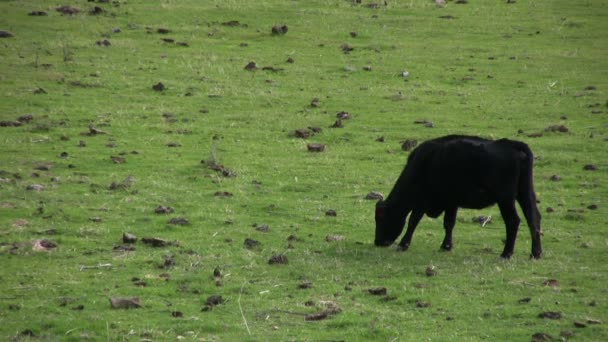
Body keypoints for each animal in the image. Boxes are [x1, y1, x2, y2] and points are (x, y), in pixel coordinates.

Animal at [376, 135, 540, 258]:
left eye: (381, 217)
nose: (377, 242)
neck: (424, 163)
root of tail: (510, 145)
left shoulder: (422, 201)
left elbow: (413, 221)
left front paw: (403, 244)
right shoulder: (451, 202)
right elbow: (449, 223)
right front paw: (446, 246)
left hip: (505, 198)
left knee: (513, 221)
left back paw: (506, 253)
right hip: (525, 193)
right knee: (533, 217)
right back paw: (536, 253)